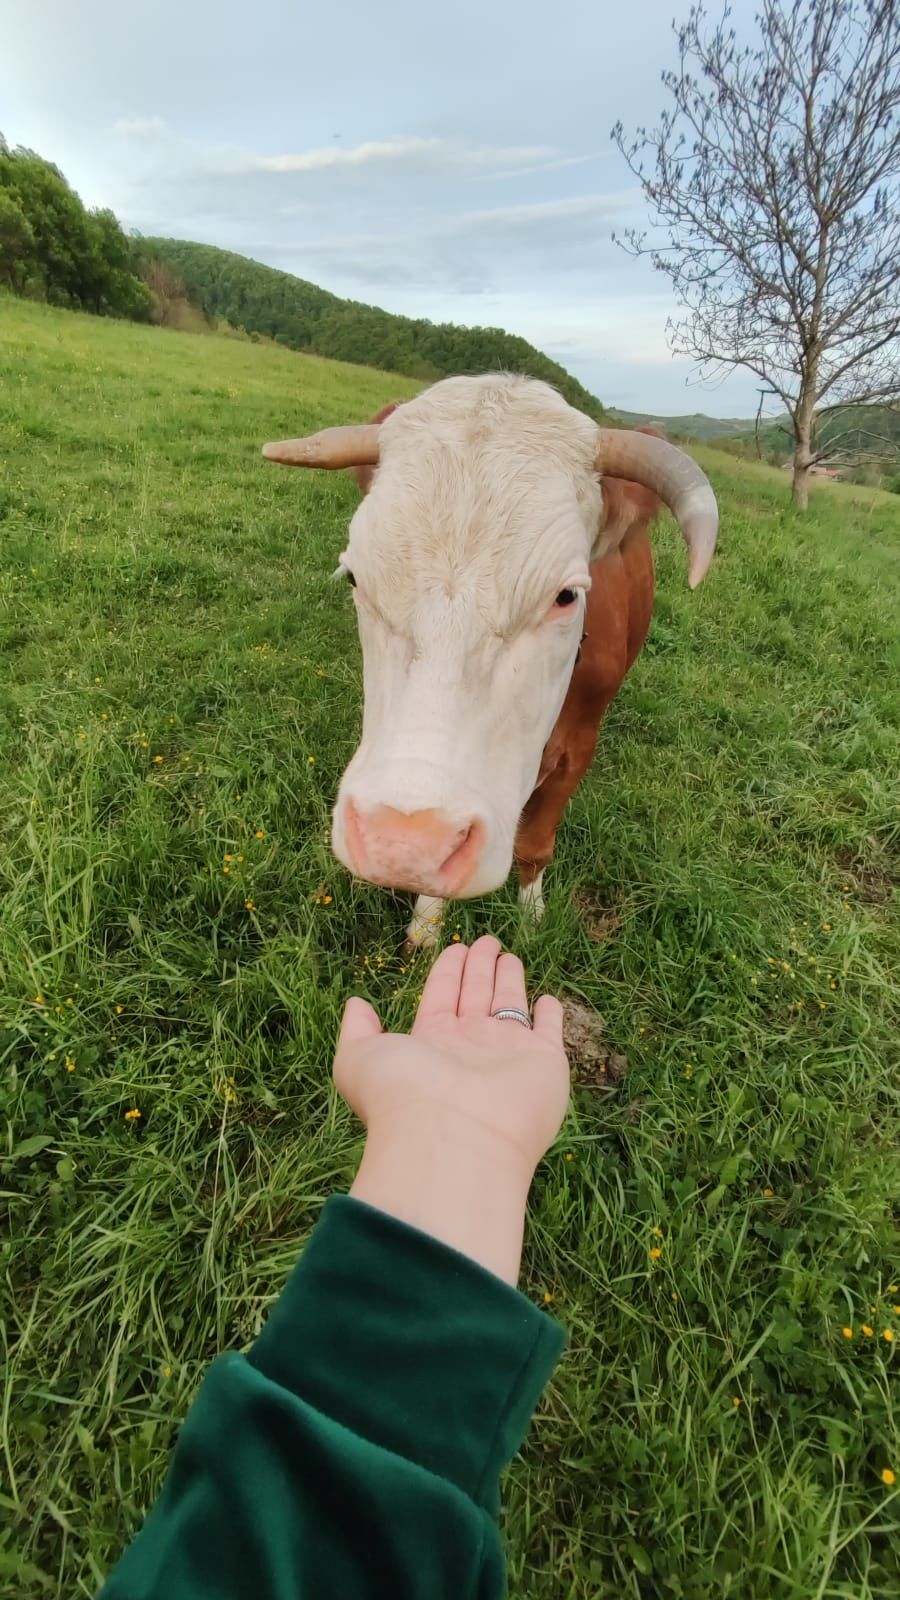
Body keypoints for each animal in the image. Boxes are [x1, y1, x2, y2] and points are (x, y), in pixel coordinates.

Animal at [261, 376, 714, 940]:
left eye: (566, 595)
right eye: (354, 578)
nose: (406, 841)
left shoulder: (579, 748)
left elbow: (536, 843)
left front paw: (532, 915)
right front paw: (426, 929)